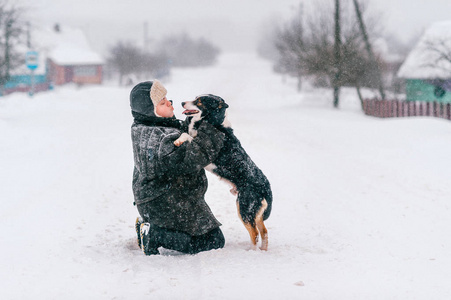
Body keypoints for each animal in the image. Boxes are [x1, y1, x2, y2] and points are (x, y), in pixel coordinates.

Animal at [173, 94, 272, 251]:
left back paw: (252, 251)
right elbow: (187, 132)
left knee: (255, 233)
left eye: (199, 101)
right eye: (195, 97)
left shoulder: (205, 150)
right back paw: (262, 250)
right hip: (254, 212)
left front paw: (179, 139)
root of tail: (266, 188)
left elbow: (187, 136)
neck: (214, 122)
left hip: (244, 207)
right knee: (264, 231)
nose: (182, 102)